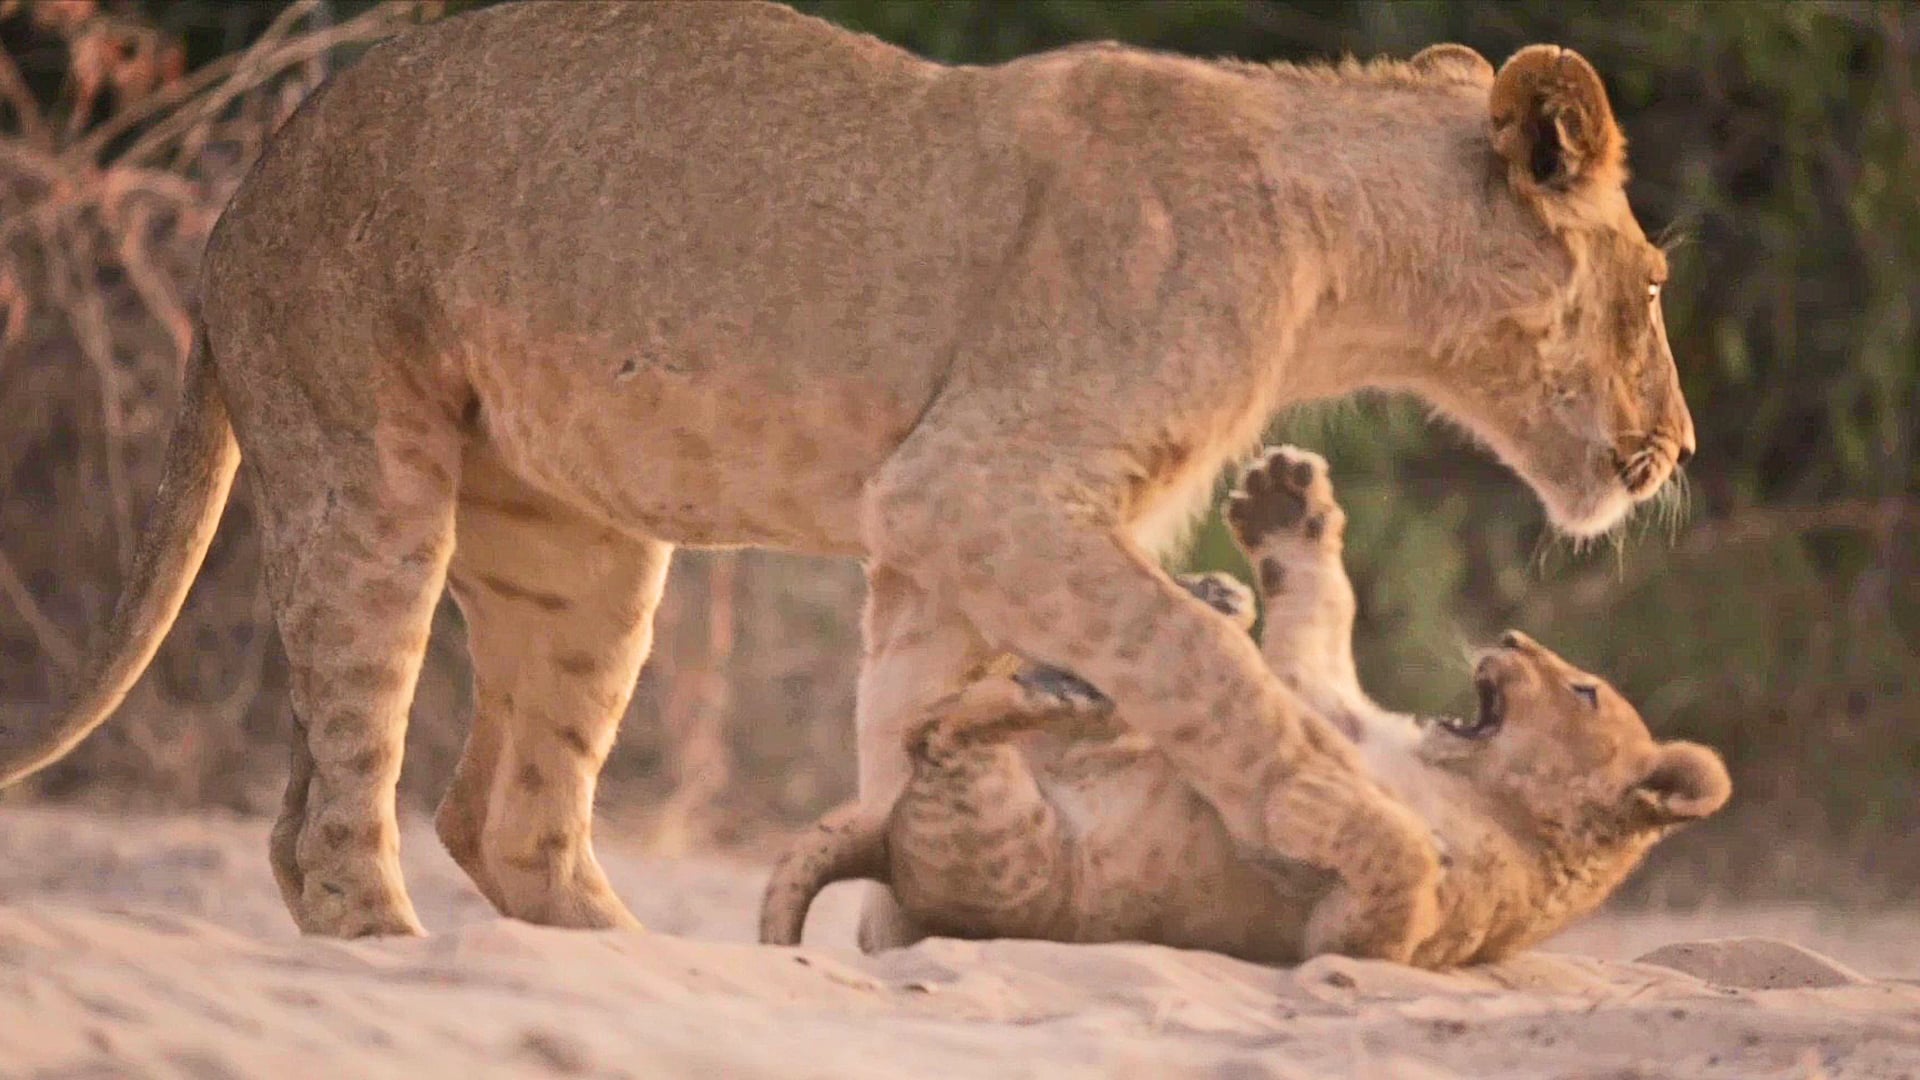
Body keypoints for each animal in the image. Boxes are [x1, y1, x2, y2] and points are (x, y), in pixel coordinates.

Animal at [760, 447, 1731, 967]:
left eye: (1585, 690)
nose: (1516, 638)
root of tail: (886, 848)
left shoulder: (1374, 937)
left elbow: (1398, 868)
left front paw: (1324, 803)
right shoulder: (1321, 698)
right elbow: (1318, 621)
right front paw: (1285, 503)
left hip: (1009, 850)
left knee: (942, 736)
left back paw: (1069, 679)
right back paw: (1188, 611)